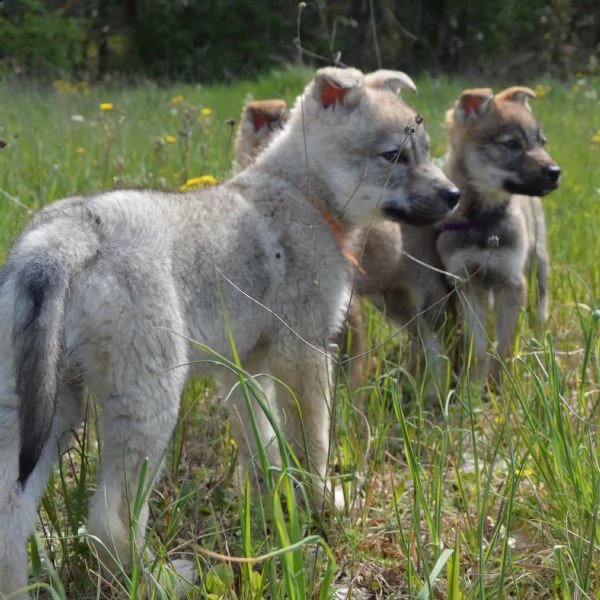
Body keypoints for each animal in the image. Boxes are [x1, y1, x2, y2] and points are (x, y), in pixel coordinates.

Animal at [0, 67, 460, 596]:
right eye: (394, 155)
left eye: (425, 149)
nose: (455, 196)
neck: (301, 193)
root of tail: (68, 235)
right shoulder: (304, 355)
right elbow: (313, 445)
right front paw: (321, 507)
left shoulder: (242, 371)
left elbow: (265, 446)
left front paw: (276, 501)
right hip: (148, 405)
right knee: (108, 521)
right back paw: (163, 579)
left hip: (43, 408)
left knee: (11, 515)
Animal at [438, 86, 560, 382]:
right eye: (512, 144)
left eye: (542, 142)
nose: (555, 172)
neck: (484, 221)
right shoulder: (467, 283)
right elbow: (478, 347)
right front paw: (473, 385)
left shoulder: (512, 280)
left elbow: (505, 347)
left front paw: (504, 385)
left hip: (538, 266)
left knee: (539, 310)